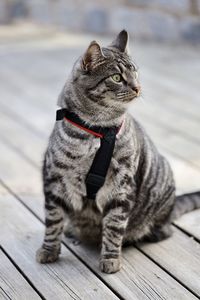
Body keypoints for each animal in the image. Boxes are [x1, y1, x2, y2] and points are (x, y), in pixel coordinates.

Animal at [36, 31, 200, 274]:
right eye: (116, 77)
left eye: (135, 73)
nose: (137, 87)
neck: (98, 129)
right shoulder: (54, 179)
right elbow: (53, 221)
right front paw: (48, 250)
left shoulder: (121, 186)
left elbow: (114, 226)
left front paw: (111, 258)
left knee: (163, 229)